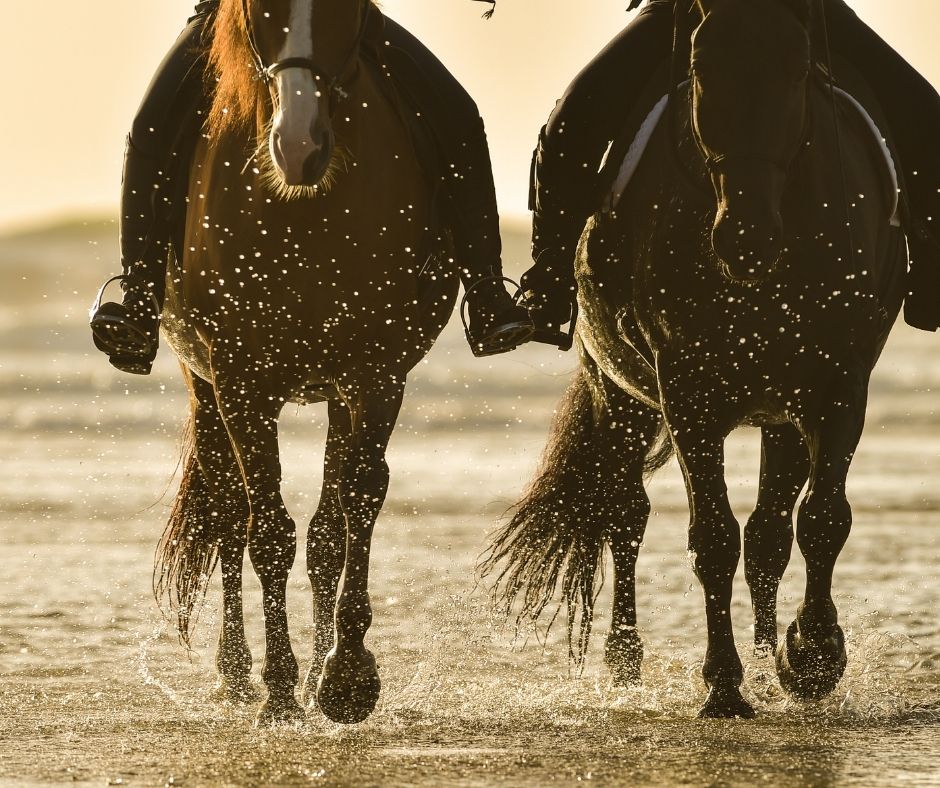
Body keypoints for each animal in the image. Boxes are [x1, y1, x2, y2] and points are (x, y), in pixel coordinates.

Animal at [153, 0, 457, 726]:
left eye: (344, 9)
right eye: (259, 10)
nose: (298, 147)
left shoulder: (374, 376)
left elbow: (354, 508)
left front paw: (344, 675)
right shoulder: (241, 380)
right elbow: (266, 531)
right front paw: (281, 688)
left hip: (332, 396)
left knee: (323, 529)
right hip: (205, 387)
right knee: (227, 516)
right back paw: (238, 674)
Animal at [482, 0, 907, 718]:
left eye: (798, 69)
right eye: (703, 66)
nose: (746, 237)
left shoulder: (838, 387)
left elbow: (821, 520)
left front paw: (811, 655)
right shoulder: (688, 393)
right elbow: (712, 537)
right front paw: (724, 684)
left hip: (779, 415)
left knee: (769, 535)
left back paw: (767, 655)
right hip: (620, 394)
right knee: (626, 516)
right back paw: (626, 658)